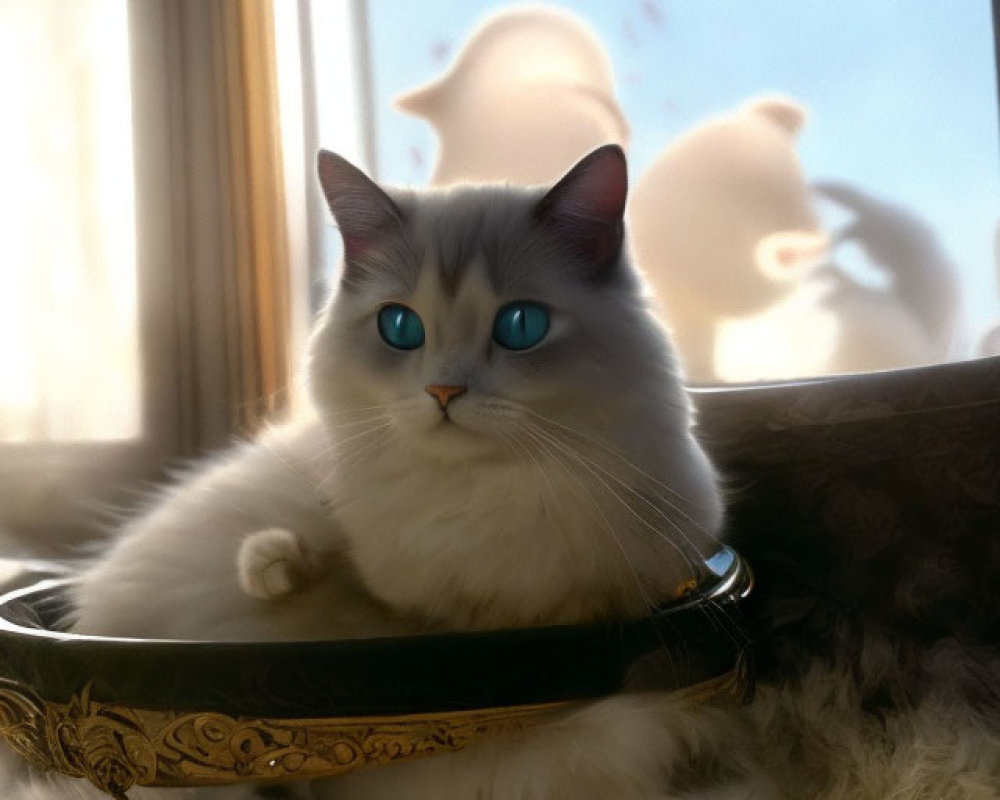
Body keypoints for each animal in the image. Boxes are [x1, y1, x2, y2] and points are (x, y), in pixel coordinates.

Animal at [1, 147, 752, 796]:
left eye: (520, 326)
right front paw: (274, 567)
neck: (477, 498)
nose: (443, 392)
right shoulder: (383, 592)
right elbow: (337, 583)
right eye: (399, 328)